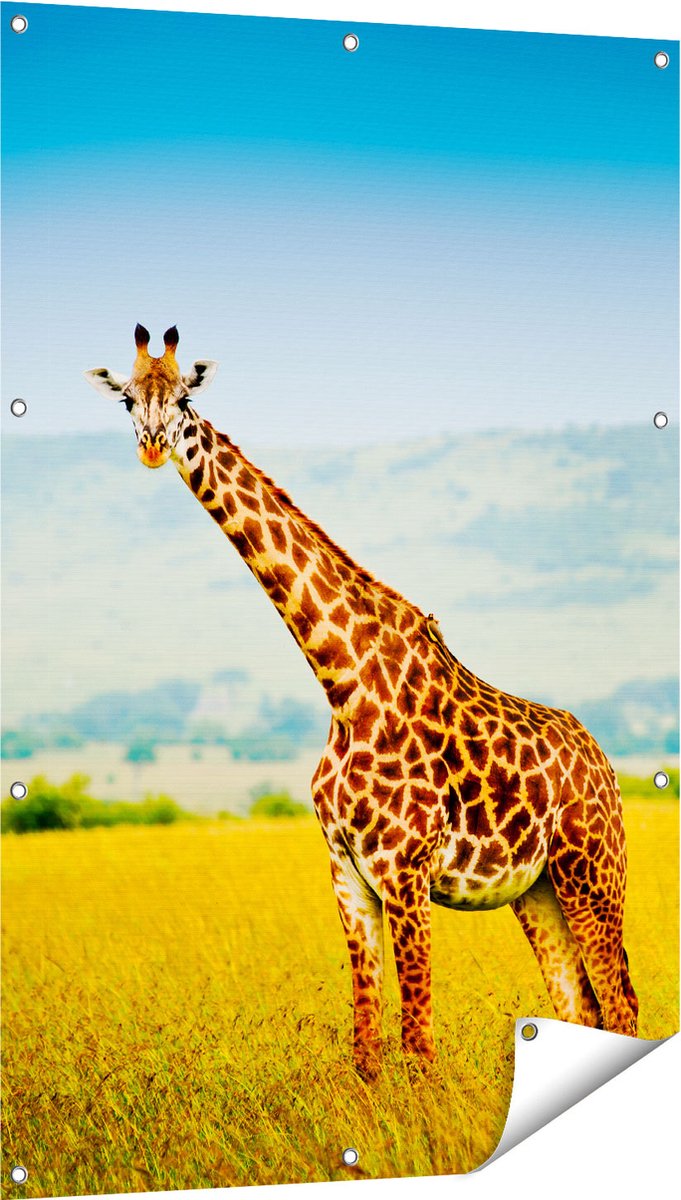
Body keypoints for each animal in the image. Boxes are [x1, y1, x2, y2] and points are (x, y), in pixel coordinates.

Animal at [86, 325, 639, 1078]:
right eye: (127, 400)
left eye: (185, 398)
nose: (150, 445)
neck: (342, 682)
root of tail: (605, 762)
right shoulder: (346, 873)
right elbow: (367, 1045)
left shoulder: (404, 871)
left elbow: (418, 1041)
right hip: (538, 889)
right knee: (579, 1007)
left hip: (592, 871)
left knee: (621, 1004)